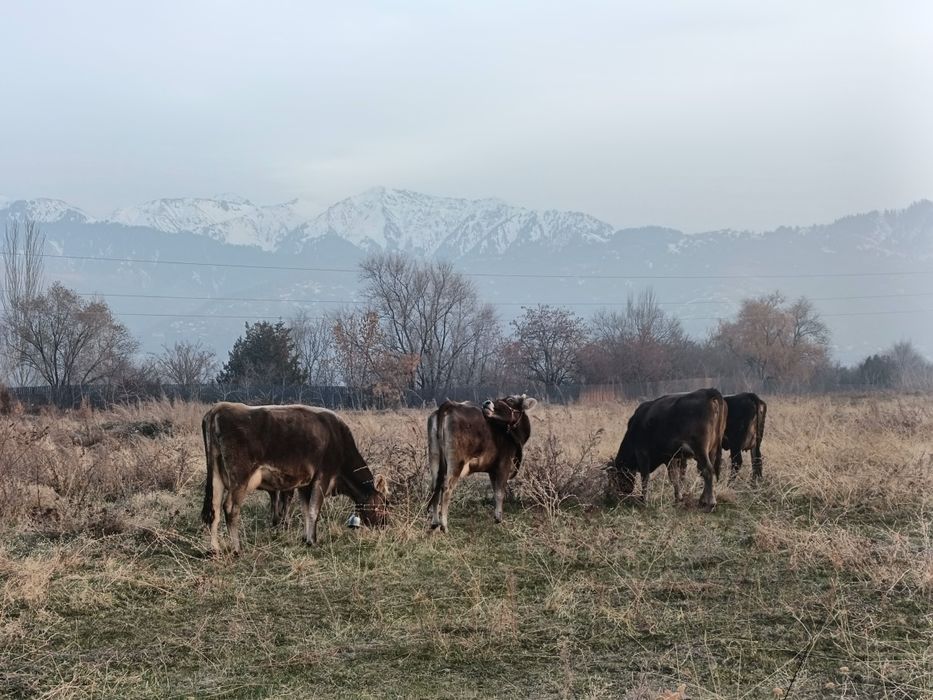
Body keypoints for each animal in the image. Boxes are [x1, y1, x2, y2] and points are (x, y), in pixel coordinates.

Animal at [201, 402, 389, 554]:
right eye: (381, 505)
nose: (385, 524)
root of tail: (219, 407)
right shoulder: (323, 477)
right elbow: (314, 510)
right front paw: (312, 541)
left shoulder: (305, 485)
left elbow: (306, 510)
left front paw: (306, 538)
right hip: (240, 477)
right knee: (230, 508)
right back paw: (237, 549)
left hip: (217, 475)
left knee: (214, 509)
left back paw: (214, 549)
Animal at [427, 394, 538, 532]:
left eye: (510, 400)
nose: (487, 403)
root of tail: (450, 405)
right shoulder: (504, 465)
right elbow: (500, 492)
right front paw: (499, 518)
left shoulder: (492, 470)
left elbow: (495, 491)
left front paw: (496, 516)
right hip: (456, 463)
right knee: (446, 488)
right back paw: (444, 525)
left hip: (434, 458)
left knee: (435, 487)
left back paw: (434, 522)